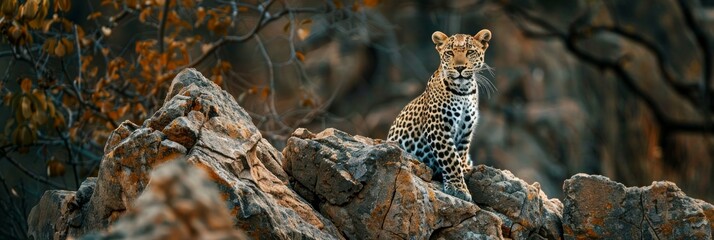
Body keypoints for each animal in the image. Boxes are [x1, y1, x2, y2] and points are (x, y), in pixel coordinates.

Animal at [386, 29, 492, 202]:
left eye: (470, 52)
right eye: (449, 53)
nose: (460, 67)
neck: (464, 91)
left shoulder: (466, 131)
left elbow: (460, 154)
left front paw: (463, 171)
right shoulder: (438, 127)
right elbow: (451, 159)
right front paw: (458, 188)